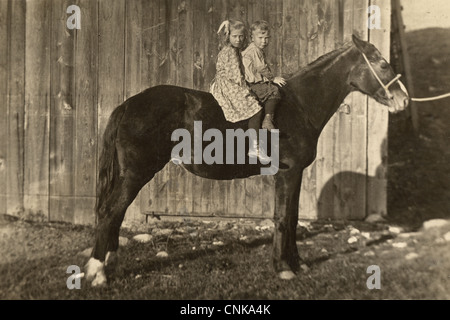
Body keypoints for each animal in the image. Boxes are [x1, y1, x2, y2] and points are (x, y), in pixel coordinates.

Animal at [85, 33, 412, 286]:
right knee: (111, 212)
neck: (299, 105)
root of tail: (129, 104)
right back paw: (98, 272)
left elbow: (293, 217)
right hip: (136, 174)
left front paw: (297, 263)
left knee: (112, 213)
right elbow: (283, 219)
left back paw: (108, 265)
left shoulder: (294, 175)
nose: (404, 100)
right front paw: (283, 268)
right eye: (382, 64)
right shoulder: (288, 174)